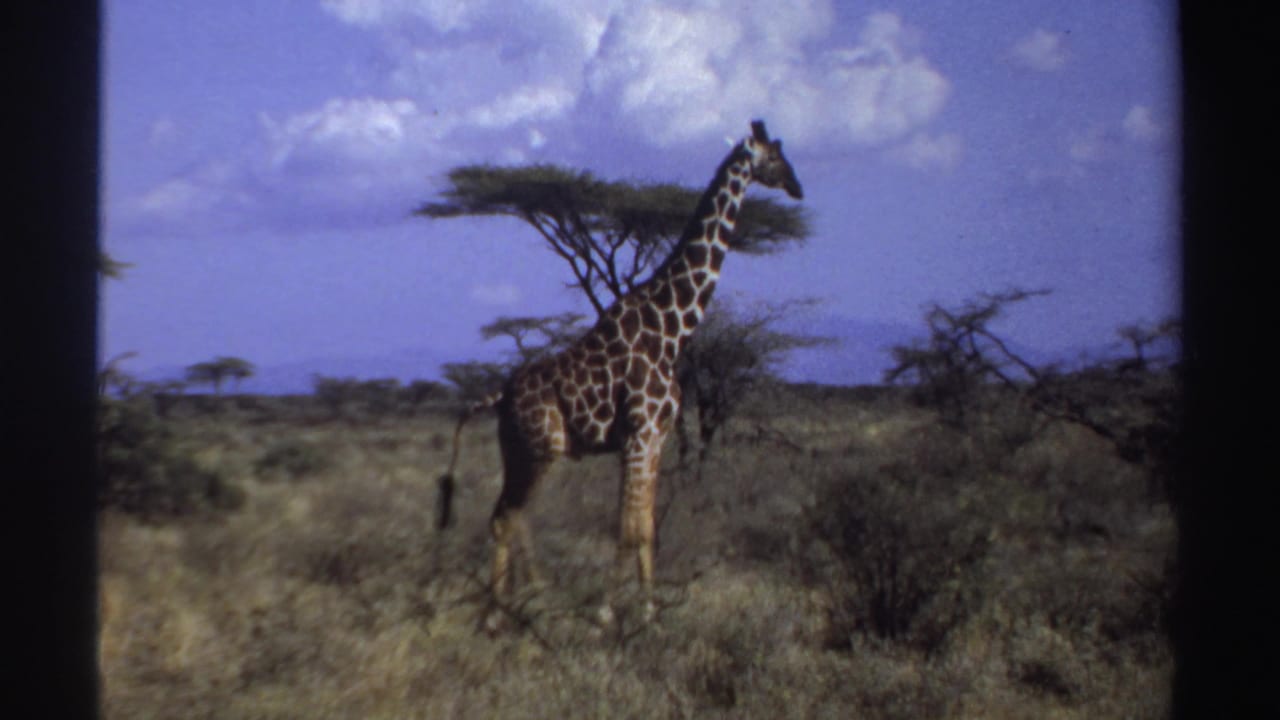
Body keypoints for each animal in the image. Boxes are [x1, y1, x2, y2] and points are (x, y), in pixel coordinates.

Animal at [439, 120, 803, 627]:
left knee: (506, 515)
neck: (672, 329)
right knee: (509, 516)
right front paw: (609, 611)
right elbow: (625, 526)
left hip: (518, 450)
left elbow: (645, 525)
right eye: (774, 156)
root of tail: (499, 395)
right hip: (543, 449)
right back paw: (503, 610)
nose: (797, 187)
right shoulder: (639, 434)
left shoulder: (657, 438)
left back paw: (519, 601)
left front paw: (649, 610)